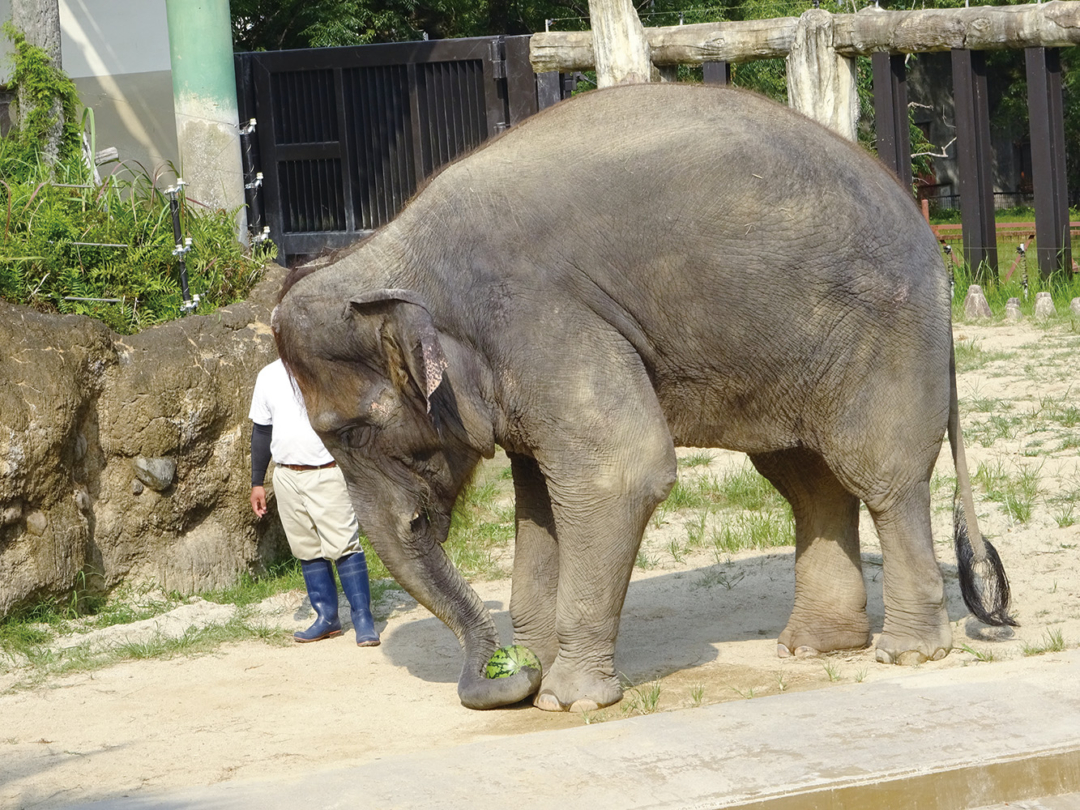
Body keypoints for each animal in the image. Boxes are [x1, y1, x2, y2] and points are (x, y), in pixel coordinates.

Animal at [272, 82, 1010, 712]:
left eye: (354, 432)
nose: (502, 671)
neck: (398, 258)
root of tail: (931, 239)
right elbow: (543, 502)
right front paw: (536, 672)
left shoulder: (546, 320)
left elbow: (616, 474)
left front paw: (566, 699)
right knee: (808, 479)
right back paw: (813, 649)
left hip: (885, 332)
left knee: (881, 476)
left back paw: (908, 654)